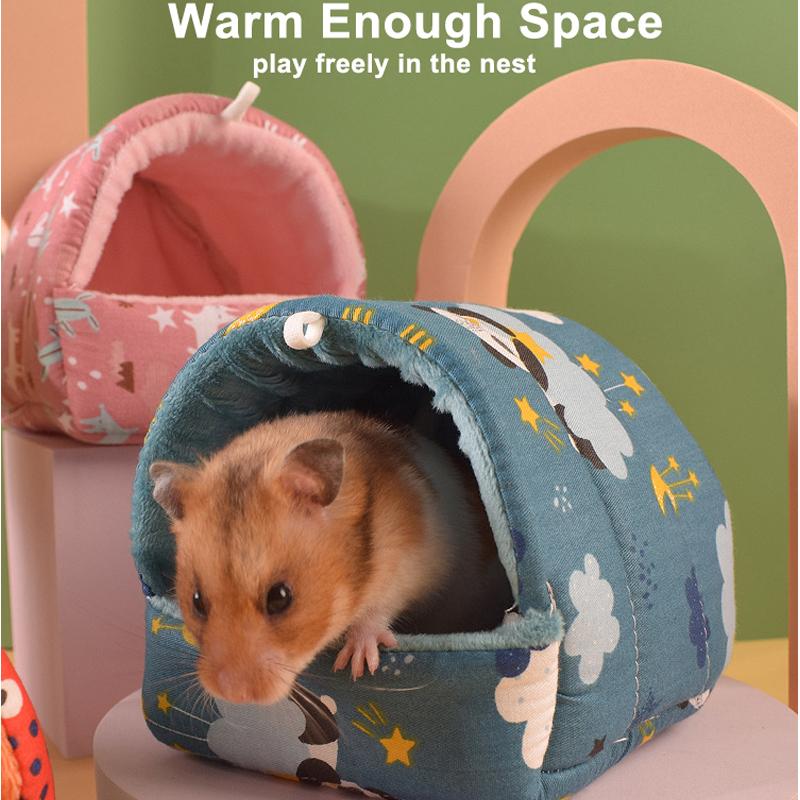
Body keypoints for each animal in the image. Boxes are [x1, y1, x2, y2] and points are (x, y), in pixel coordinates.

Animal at [150, 410, 512, 705]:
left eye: (280, 597)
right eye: (196, 601)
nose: (232, 694)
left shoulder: (409, 562)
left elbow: (378, 610)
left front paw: (356, 665)